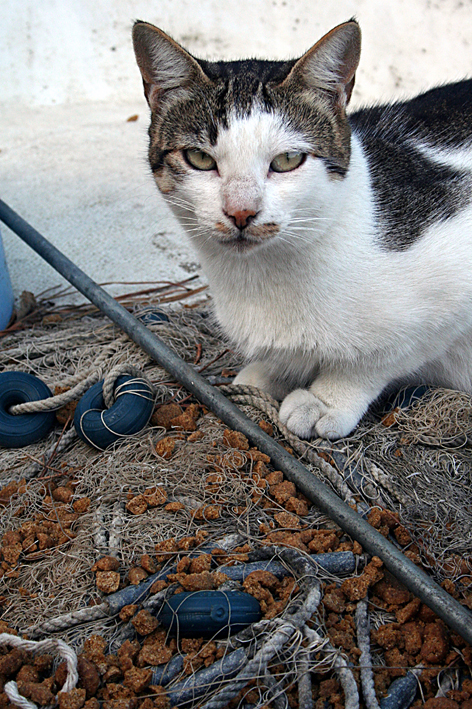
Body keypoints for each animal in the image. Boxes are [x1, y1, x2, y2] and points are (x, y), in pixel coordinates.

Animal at [131, 19, 472, 440]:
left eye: (288, 160)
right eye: (199, 158)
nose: (241, 211)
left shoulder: (451, 288)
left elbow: (377, 358)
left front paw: (327, 398)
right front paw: (270, 372)